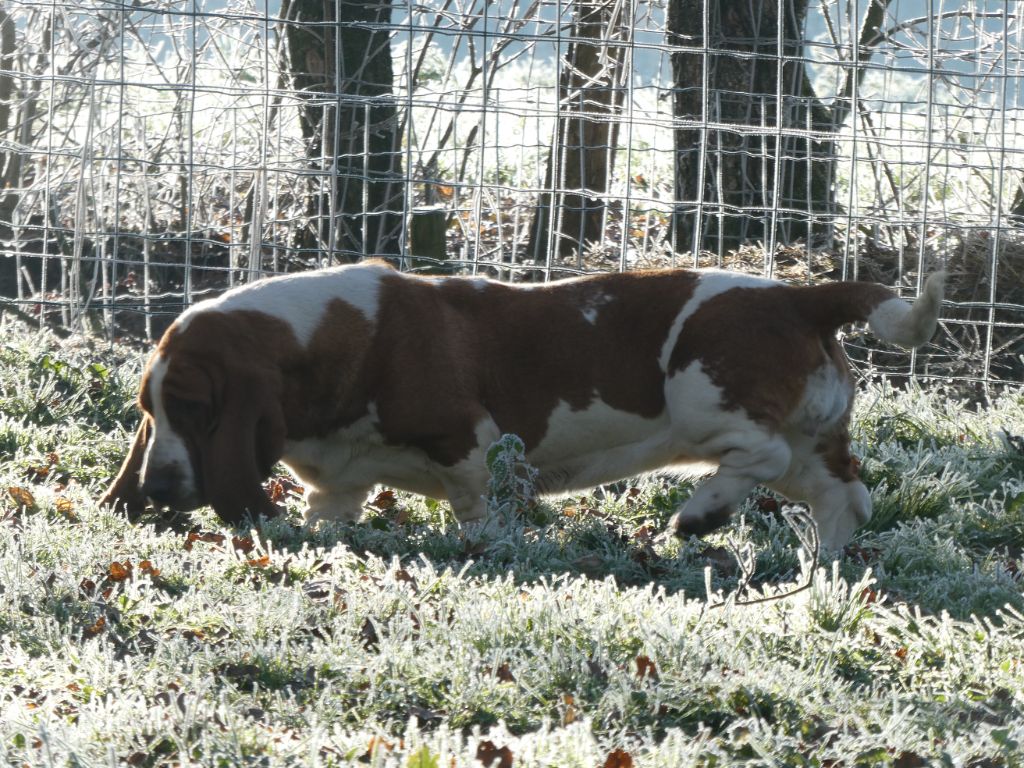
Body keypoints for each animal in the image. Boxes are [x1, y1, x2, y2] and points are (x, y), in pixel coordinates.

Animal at [99, 262, 946, 548]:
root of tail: (803, 298)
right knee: (846, 496)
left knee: (755, 456)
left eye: (195, 407)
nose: (160, 488)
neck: (335, 339)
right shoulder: (337, 489)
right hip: (812, 444)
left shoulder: (472, 452)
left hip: (702, 403)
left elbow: (481, 515)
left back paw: (700, 514)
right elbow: (328, 516)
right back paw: (825, 571)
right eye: (151, 410)